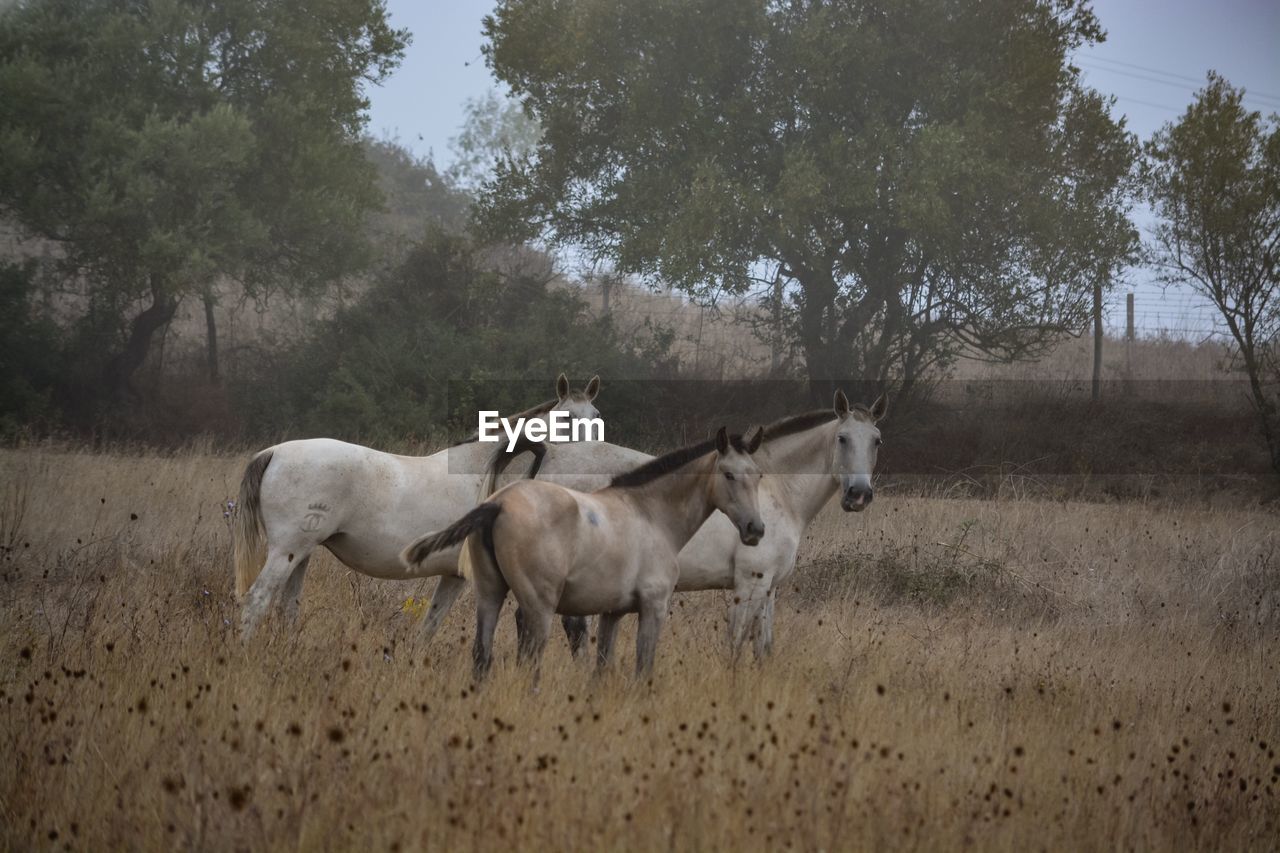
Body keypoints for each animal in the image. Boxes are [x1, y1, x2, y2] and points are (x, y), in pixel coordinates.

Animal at [232, 368, 601, 635]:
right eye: (567, 418)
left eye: (596, 415)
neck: (483, 470)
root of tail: (273, 453)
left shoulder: (452, 576)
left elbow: (429, 627)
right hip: (286, 552)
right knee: (256, 602)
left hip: (302, 554)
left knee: (287, 607)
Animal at [401, 425, 757, 676]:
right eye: (729, 475)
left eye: (756, 475)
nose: (756, 529)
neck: (650, 511)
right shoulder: (657, 603)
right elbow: (644, 666)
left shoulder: (614, 608)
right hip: (541, 601)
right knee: (538, 649)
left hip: (492, 592)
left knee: (483, 655)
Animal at [424, 389, 885, 660]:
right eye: (843, 438)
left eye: (877, 440)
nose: (859, 494)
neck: (773, 490)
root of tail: (547, 451)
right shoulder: (749, 583)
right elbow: (735, 647)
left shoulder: (768, 587)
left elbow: (763, 649)